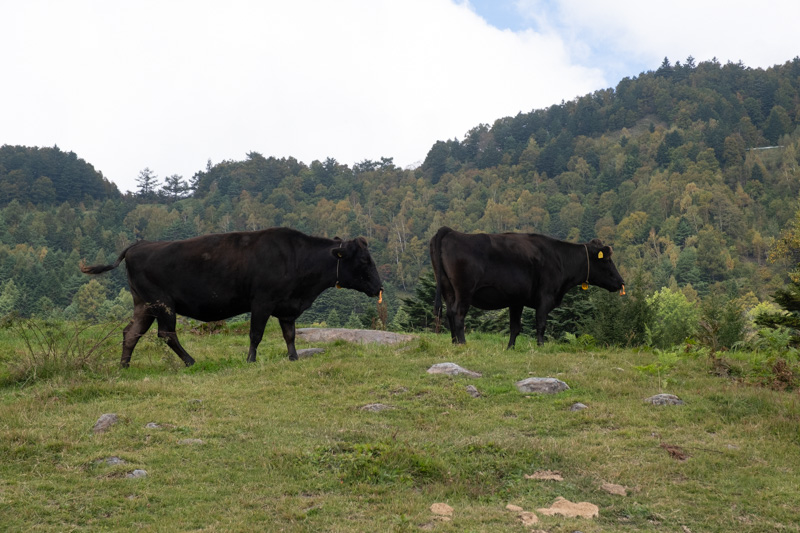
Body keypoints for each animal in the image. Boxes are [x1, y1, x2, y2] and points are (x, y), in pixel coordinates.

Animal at [81, 227, 382, 368]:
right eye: (364, 260)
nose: (379, 287)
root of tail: (138, 245)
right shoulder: (262, 302)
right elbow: (256, 334)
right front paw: (250, 361)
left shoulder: (287, 307)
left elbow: (290, 335)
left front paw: (294, 358)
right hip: (163, 304)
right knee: (166, 334)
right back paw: (191, 361)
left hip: (144, 305)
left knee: (131, 333)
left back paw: (124, 366)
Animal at [432, 225, 624, 348]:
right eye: (607, 260)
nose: (621, 282)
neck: (560, 259)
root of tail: (451, 232)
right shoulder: (546, 296)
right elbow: (541, 323)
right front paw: (541, 346)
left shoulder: (516, 300)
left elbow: (515, 327)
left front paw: (510, 348)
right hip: (464, 291)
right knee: (458, 314)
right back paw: (462, 343)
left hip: (448, 289)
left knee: (449, 313)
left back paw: (454, 342)